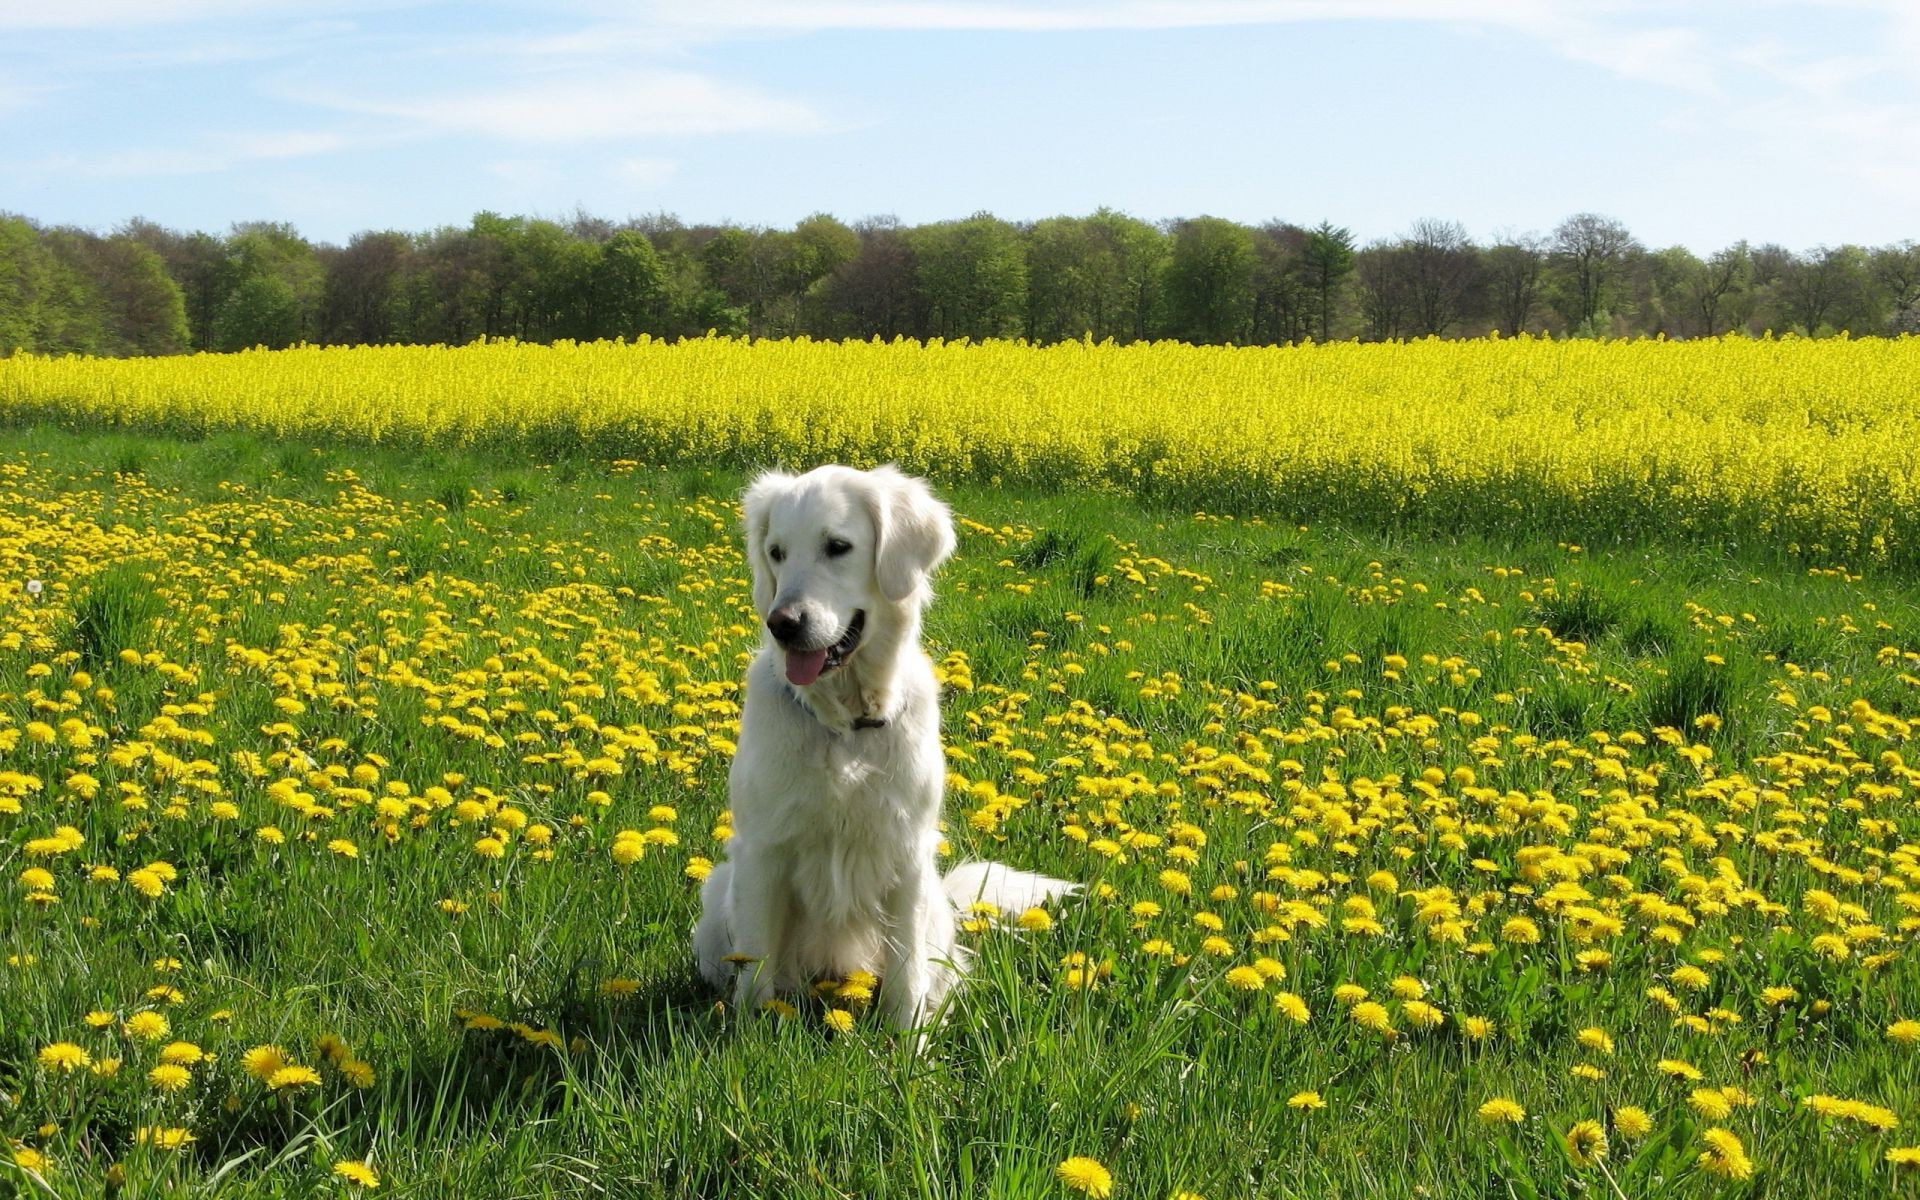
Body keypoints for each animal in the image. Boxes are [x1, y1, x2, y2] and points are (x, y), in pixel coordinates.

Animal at [695, 466, 1082, 1029]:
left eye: (838, 546)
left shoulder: (907, 853)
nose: (782, 624)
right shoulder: (763, 850)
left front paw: (907, 1042)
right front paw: (751, 1032)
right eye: (776, 552)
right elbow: (757, 967)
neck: (846, 725)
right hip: (718, 892)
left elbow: (906, 973)